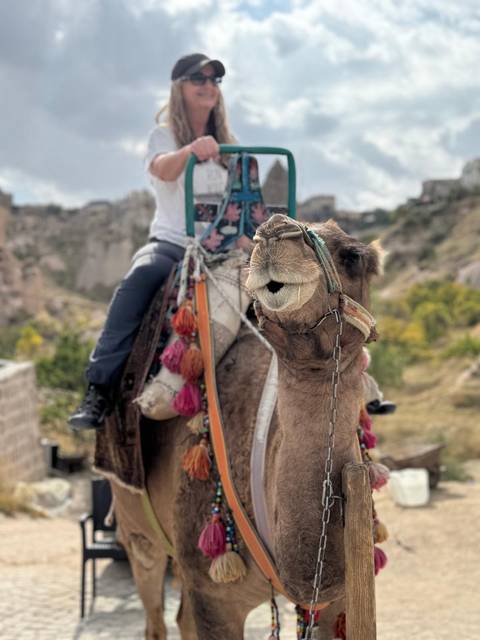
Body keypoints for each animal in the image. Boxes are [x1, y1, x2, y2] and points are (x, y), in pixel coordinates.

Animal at [110, 214, 381, 639]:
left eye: (354, 255)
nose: (274, 230)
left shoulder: (341, 600)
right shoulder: (214, 596)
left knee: (181, 616)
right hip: (138, 531)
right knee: (154, 607)